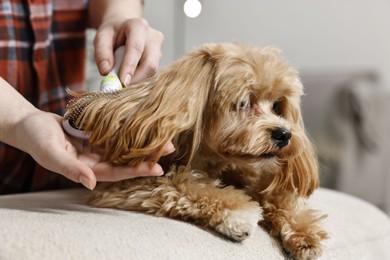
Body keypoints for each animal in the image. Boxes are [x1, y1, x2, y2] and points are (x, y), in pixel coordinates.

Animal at [65, 43, 328, 258]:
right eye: (243, 103)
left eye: (277, 105)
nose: (284, 134)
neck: (212, 159)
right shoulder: (126, 184)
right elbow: (185, 184)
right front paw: (236, 212)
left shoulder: (249, 170)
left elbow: (278, 196)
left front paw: (304, 231)